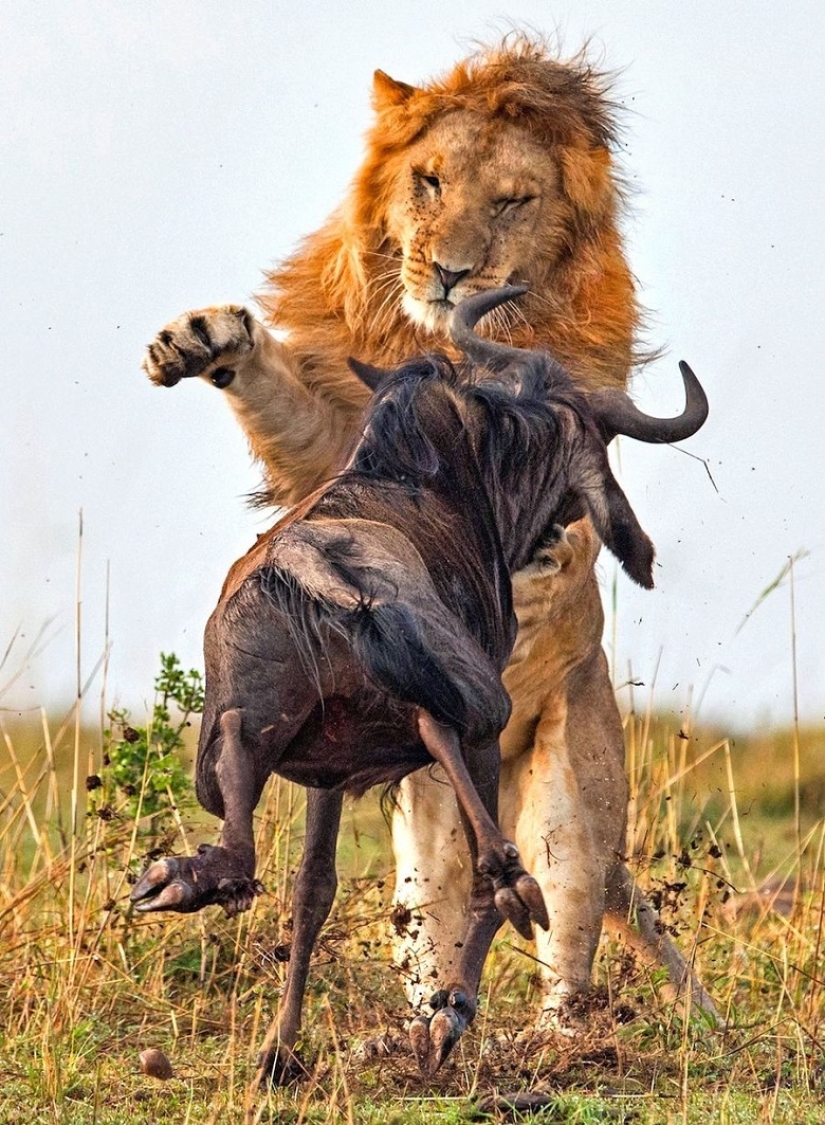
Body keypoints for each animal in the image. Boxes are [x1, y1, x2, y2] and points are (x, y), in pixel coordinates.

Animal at [143, 34, 719, 1028]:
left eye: (513, 200)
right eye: (429, 181)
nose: (451, 272)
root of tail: (322, 572)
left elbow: (314, 881)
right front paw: (203, 338)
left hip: (555, 793)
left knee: (553, 926)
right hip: (437, 768)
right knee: (462, 865)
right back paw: (450, 995)